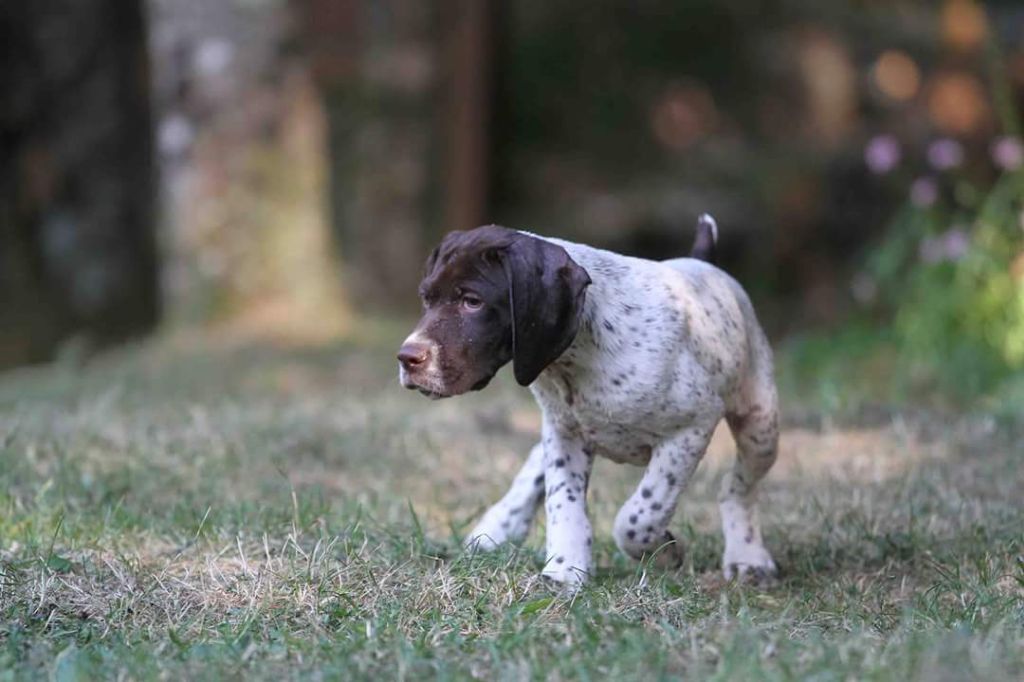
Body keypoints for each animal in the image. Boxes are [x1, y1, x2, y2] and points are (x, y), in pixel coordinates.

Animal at [397, 214, 774, 585]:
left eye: (472, 301)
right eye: (426, 298)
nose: (407, 358)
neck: (579, 357)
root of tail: (700, 262)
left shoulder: (691, 428)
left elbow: (639, 515)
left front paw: (662, 550)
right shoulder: (565, 433)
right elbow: (563, 503)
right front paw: (565, 570)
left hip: (759, 426)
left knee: (737, 488)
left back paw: (748, 558)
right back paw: (501, 523)